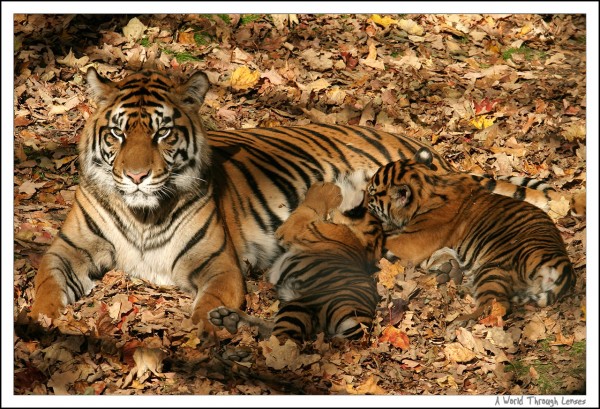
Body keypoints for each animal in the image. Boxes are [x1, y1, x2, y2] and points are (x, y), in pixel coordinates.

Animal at [209, 177, 382, 340]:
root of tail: (363, 320)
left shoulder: (297, 228)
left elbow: (309, 208)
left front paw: (324, 188)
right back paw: (228, 318)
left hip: (299, 307)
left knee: (284, 339)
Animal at [366, 147, 576, 322]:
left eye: (371, 193)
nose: (363, 201)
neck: (430, 184)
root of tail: (563, 264)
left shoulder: (412, 241)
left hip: (493, 269)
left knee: (497, 305)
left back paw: (460, 321)